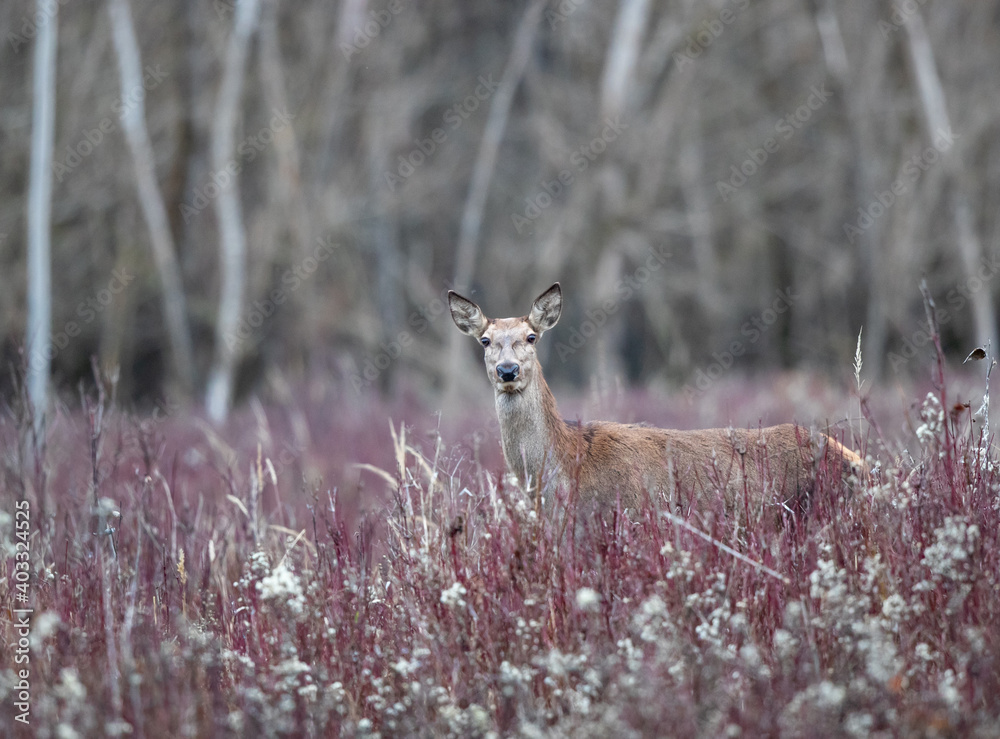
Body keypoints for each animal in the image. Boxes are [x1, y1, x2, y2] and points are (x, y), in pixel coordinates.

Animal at [450, 284, 864, 528]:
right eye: (485, 340)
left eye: (531, 336)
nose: (507, 370)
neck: (565, 467)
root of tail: (858, 460)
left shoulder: (629, 516)